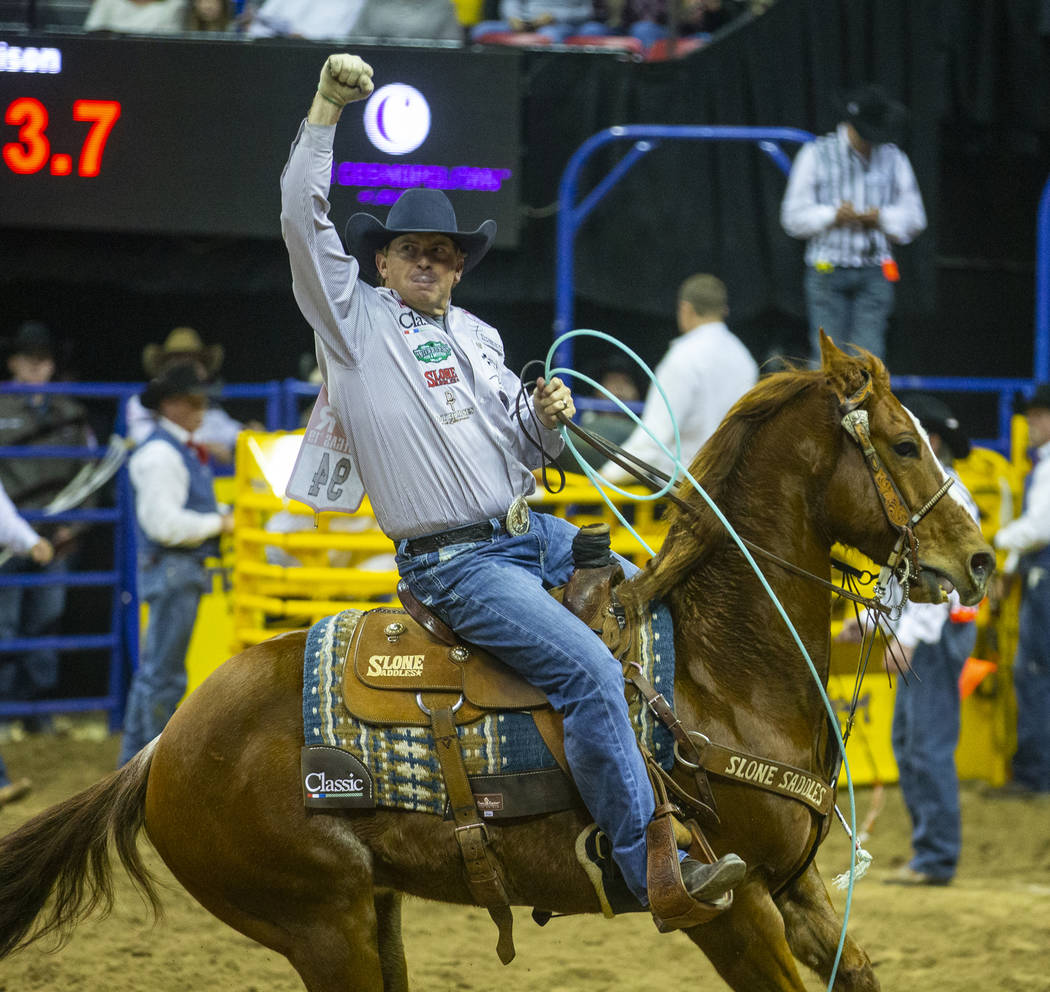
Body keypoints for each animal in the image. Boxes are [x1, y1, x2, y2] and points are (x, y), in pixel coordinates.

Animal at [0, 335, 991, 986]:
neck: (719, 671)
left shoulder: (801, 893)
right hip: (323, 924)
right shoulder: (732, 907)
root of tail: (160, 748)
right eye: (904, 443)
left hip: (375, 913)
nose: (978, 560)